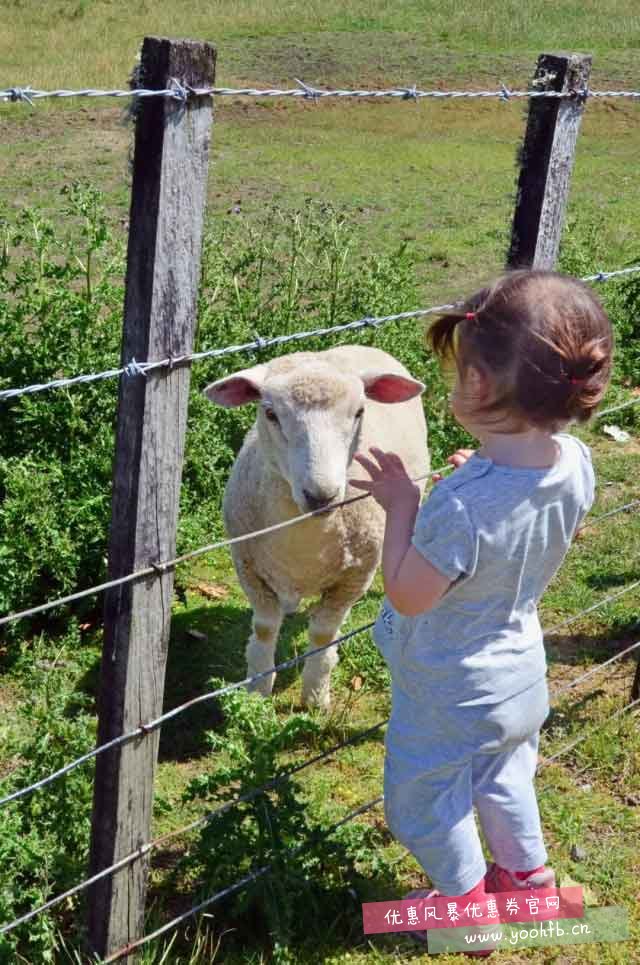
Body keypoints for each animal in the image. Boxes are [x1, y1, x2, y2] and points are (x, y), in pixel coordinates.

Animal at [202, 346, 428, 708]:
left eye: (359, 412)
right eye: (270, 413)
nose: (321, 495)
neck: (304, 542)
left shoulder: (355, 577)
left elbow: (323, 635)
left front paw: (315, 695)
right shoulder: (247, 567)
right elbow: (265, 628)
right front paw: (257, 692)